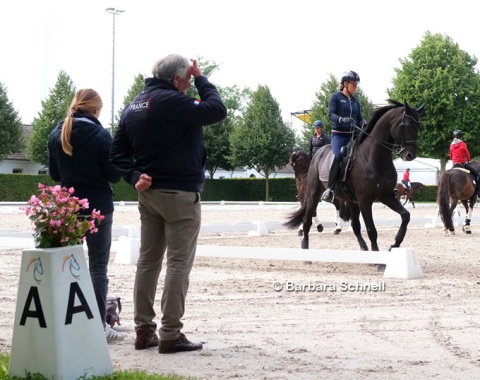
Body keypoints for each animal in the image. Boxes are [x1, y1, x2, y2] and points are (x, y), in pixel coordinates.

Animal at [284, 99, 424, 252]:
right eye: (407, 125)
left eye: (418, 125)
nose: (410, 155)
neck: (374, 158)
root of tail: (318, 153)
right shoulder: (365, 200)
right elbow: (371, 230)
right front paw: (379, 255)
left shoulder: (386, 195)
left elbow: (406, 216)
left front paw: (395, 244)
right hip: (314, 195)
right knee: (307, 220)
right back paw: (305, 245)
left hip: (350, 200)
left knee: (355, 225)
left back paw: (362, 246)